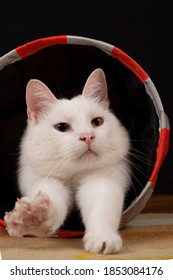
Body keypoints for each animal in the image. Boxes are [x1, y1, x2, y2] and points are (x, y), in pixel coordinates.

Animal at [4, 69, 130, 255]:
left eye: (97, 122)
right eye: (62, 127)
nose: (88, 136)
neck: (74, 174)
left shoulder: (101, 181)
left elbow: (102, 210)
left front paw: (103, 238)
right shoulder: (47, 181)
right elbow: (52, 204)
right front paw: (34, 216)